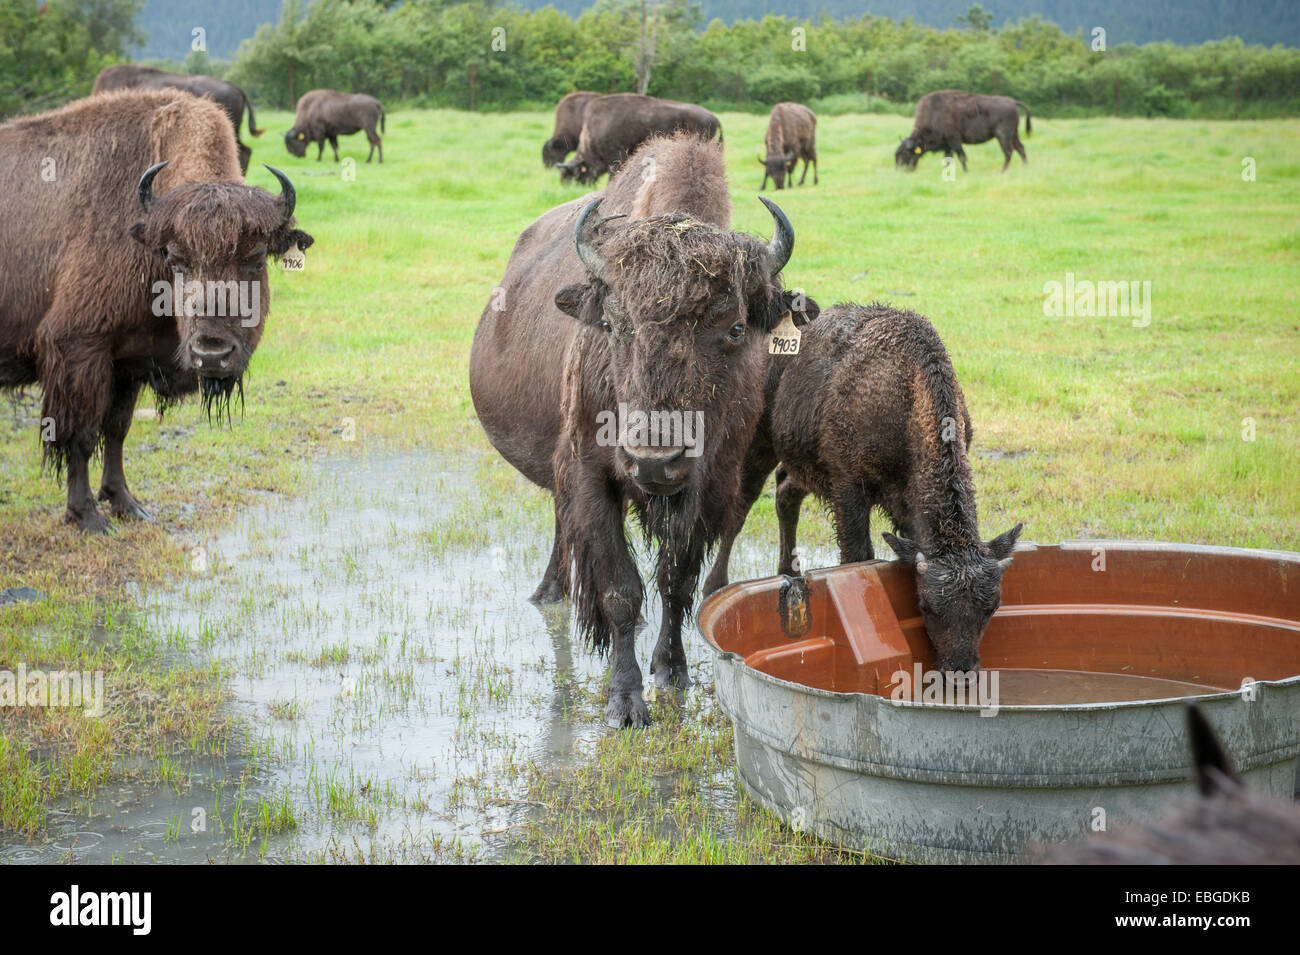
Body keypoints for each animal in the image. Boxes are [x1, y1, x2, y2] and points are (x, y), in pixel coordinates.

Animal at [467, 134, 811, 727]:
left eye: (735, 328)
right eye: (613, 323)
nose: (655, 460)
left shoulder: (711, 487)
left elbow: (676, 582)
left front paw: (671, 672)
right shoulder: (591, 474)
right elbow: (620, 590)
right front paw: (625, 702)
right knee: (563, 524)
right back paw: (550, 593)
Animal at [889, 89, 1029, 172]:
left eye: (904, 154)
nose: (899, 170)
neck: (934, 114)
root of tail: (1012, 102)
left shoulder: (955, 141)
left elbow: (962, 157)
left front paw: (966, 172)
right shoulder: (947, 145)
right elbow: (948, 158)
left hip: (1003, 136)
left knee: (1008, 152)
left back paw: (1002, 171)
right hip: (1014, 134)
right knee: (1020, 148)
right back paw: (1024, 167)